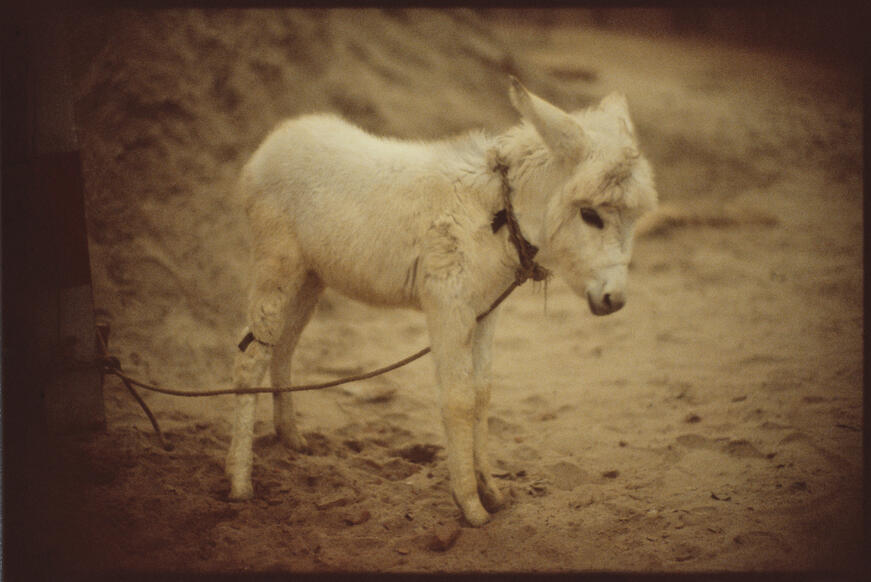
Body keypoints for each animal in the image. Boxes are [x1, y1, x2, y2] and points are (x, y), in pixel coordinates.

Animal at [228, 75, 656, 528]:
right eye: (591, 215)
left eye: (633, 219)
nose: (614, 300)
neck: (496, 214)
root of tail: (276, 139)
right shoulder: (449, 309)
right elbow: (458, 399)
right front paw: (470, 505)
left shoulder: (486, 311)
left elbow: (483, 393)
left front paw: (492, 491)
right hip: (278, 267)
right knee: (250, 357)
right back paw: (240, 482)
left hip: (311, 278)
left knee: (283, 347)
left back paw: (291, 437)